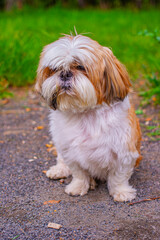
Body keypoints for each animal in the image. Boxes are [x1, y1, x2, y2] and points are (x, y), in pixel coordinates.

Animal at [35, 33, 142, 202]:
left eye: (80, 67)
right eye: (55, 69)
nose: (64, 74)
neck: (84, 113)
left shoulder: (124, 153)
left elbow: (118, 176)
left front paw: (121, 192)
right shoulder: (70, 152)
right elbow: (79, 173)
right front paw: (78, 186)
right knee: (62, 160)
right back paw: (60, 170)